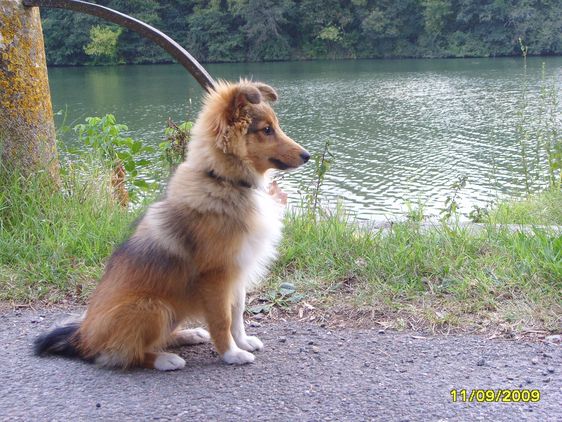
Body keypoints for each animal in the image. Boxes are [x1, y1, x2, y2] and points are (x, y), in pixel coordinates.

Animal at [34, 79, 308, 370]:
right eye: (266, 130)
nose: (307, 156)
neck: (223, 180)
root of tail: (82, 339)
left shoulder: (237, 272)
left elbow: (237, 314)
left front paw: (242, 342)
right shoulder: (217, 277)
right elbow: (222, 320)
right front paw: (231, 354)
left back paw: (189, 335)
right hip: (155, 308)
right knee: (127, 353)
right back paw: (165, 359)